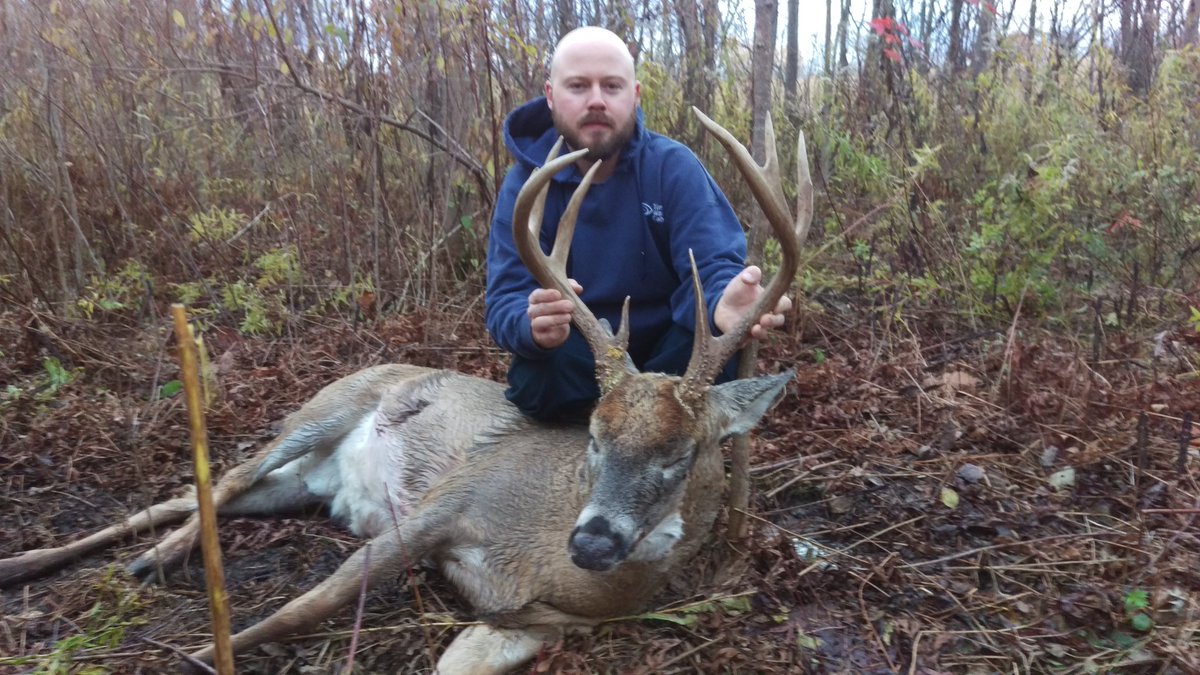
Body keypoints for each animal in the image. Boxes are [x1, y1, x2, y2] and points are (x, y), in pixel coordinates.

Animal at [0, 109, 810, 674]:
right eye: (591, 434)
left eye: (682, 454)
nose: (591, 540)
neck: (547, 556)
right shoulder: (442, 502)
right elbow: (312, 601)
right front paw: (200, 654)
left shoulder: (538, 621)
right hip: (325, 406)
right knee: (224, 474)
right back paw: (112, 563)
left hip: (302, 484)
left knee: (195, 496)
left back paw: (82, 560)